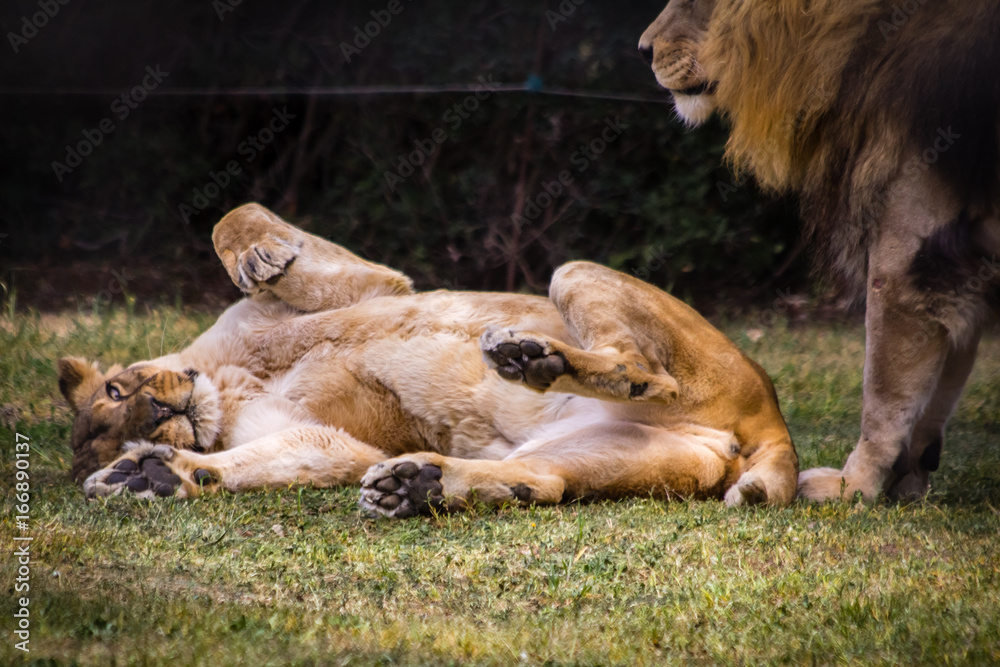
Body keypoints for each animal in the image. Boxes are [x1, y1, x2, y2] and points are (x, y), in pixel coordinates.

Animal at [61, 203, 798, 514]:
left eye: (117, 395)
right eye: (115, 432)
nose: (158, 417)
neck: (231, 384)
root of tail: (773, 422)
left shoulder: (377, 285)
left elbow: (235, 216)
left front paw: (262, 256)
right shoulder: (341, 446)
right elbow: (258, 461)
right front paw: (149, 476)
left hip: (576, 272)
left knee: (647, 371)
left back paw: (526, 354)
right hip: (602, 448)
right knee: (543, 482)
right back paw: (419, 484)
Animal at [640, 1, 1000, 501]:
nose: (643, 49)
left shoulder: (907, 247)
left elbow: (885, 394)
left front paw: (854, 485)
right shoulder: (958, 264)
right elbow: (938, 393)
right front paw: (907, 479)